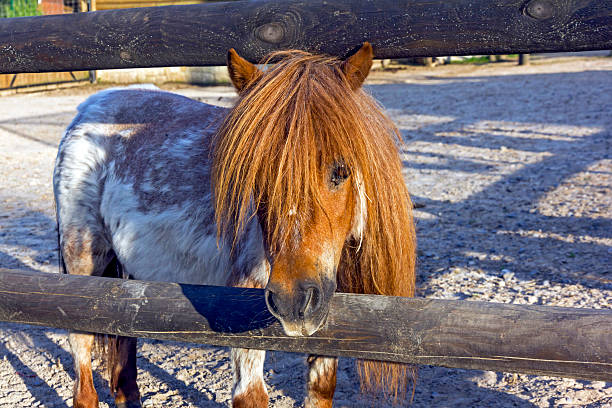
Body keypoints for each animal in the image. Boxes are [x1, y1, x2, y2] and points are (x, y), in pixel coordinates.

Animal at [53, 43, 416, 408]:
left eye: (341, 171)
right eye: (254, 175)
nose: (293, 302)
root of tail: (90, 106)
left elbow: (321, 387)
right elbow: (251, 396)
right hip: (82, 259)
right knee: (82, 360)